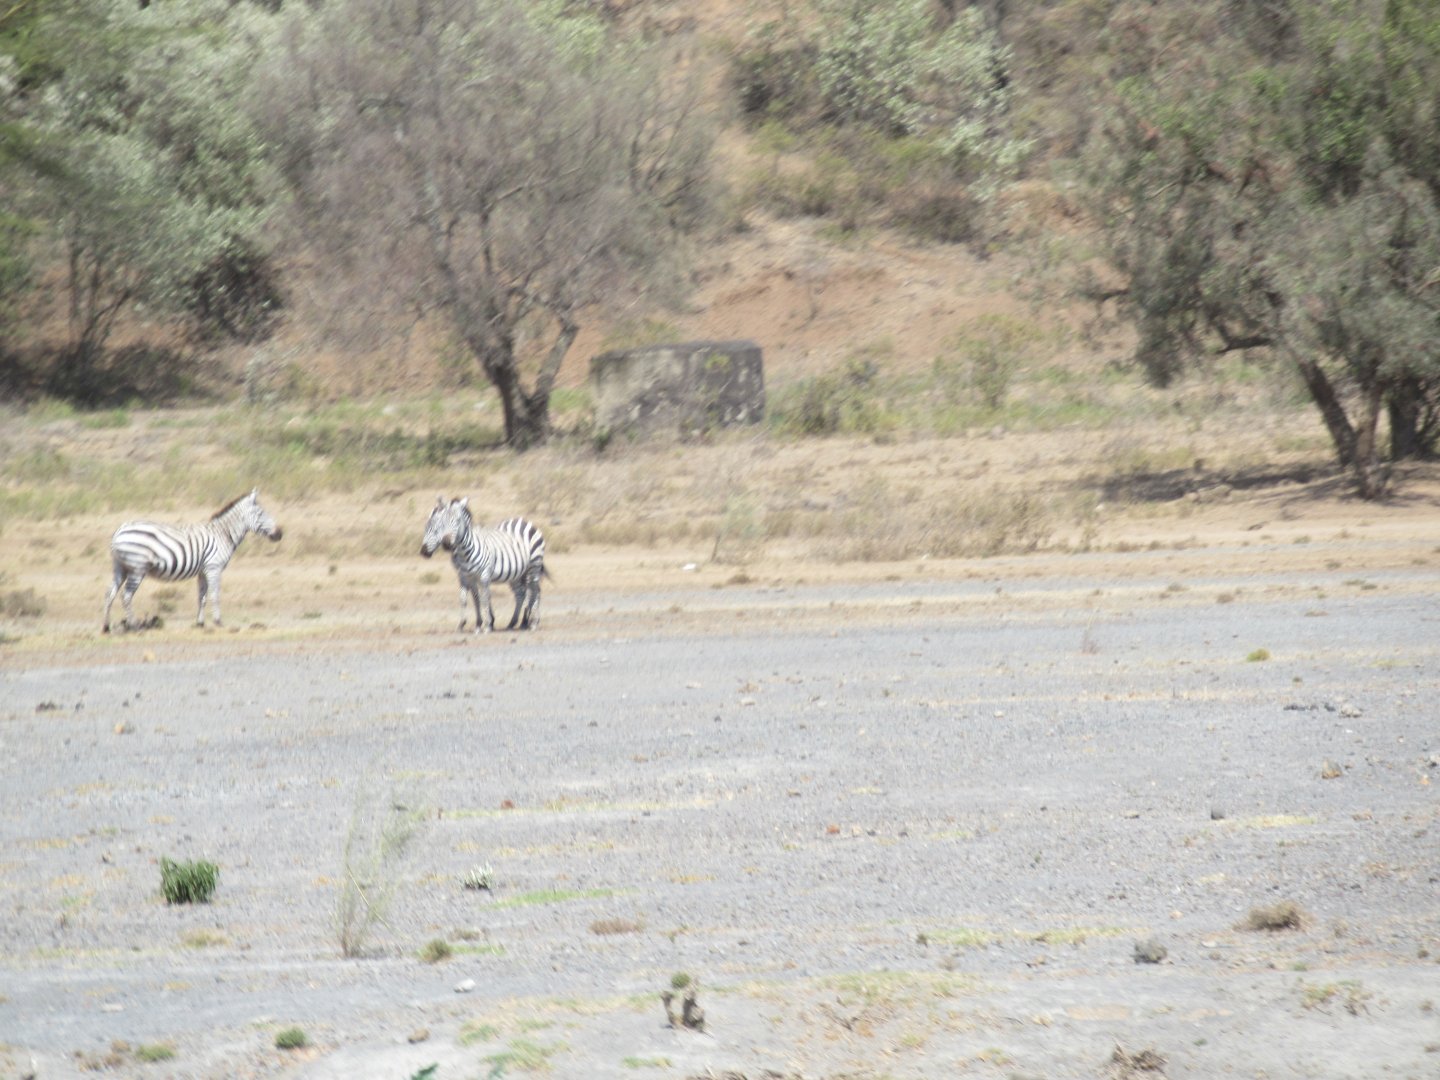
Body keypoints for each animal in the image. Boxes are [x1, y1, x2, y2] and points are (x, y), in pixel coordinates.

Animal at [102, 489, 283, 633]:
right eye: (261, 514)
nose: (279, 534)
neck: (224, 534)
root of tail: (119, 530)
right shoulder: (214, 568)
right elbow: (215, 594)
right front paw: (218, 622)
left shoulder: (203, 571)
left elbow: (202, 597)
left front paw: (200, 623)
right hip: (137, 568)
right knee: (126, 596)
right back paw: (134, 626)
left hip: (120, 567)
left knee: (109, 594)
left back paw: (106, 627)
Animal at [419, 496, 547, 633]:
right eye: (442, 524)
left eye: (436, 529)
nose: (423, 552)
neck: (464, 552)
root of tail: (524, 521)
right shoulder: (465, 576)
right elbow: (468, 599)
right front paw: (469, 624)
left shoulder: (484, 575)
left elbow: (484, 598)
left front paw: (487, 624)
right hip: (517, 573)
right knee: (522, 593)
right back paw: (516, 622)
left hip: (534, 565)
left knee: (533, 590)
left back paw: (532, 622)